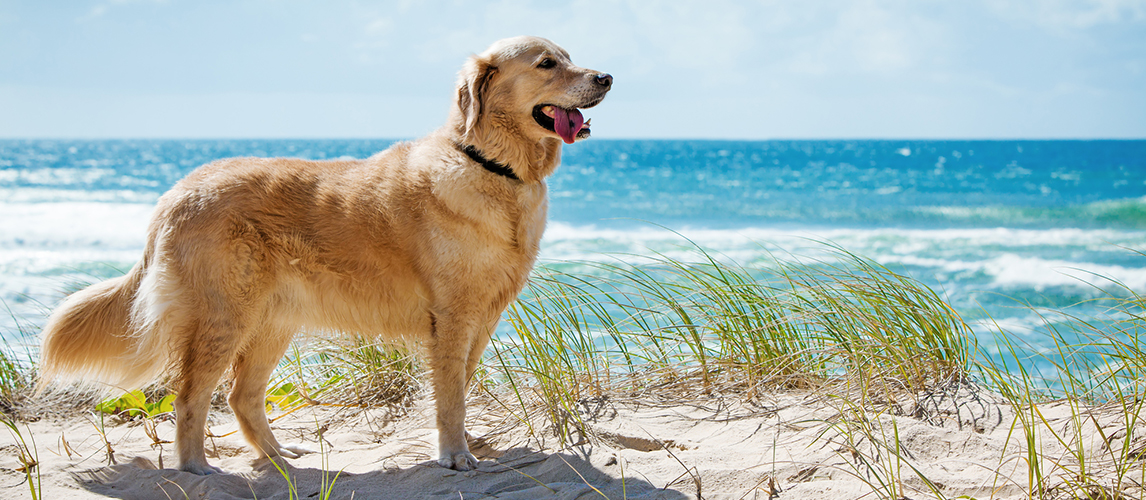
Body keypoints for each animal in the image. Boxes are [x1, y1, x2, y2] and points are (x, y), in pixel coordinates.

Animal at [35, 36, 609, 474]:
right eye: (547, 63)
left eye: (569, 55)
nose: (605, 77)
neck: (492, 166)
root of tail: (179, 189)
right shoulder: (451, 317)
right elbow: (449, 396)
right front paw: (454, 455)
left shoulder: (482, 317)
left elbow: (459, 389)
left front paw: (461, 444)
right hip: (226, 316)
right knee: (190, 397)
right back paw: (197, 468)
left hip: (272, 321)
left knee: (242, 396)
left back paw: (278, 457)